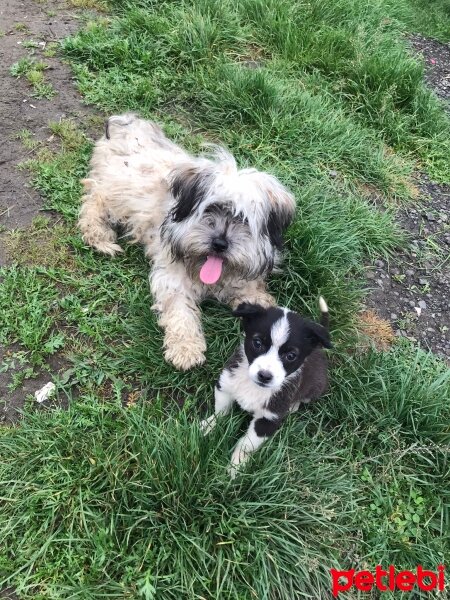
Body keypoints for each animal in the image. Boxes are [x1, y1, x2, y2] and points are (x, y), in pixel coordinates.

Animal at [78, 113, 296, 370]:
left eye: (242, 219)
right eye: (210, 209)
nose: (219, 244)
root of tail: (127, 122)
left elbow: (250, 288)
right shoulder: (172, 276)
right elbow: (179, 310)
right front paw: (186, 349)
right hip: (118, 192)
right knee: (94, 198)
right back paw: (99, 236)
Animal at [202, 298, 332, 478]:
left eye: (290, 355)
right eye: (257, 343)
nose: (264, 375)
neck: (254, 387)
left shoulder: (268, 418)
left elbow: (247, 444)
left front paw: (237, 465)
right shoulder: (226, 384)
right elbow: (221, 411)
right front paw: (208, 426)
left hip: (316, 387)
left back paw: (293, 406)